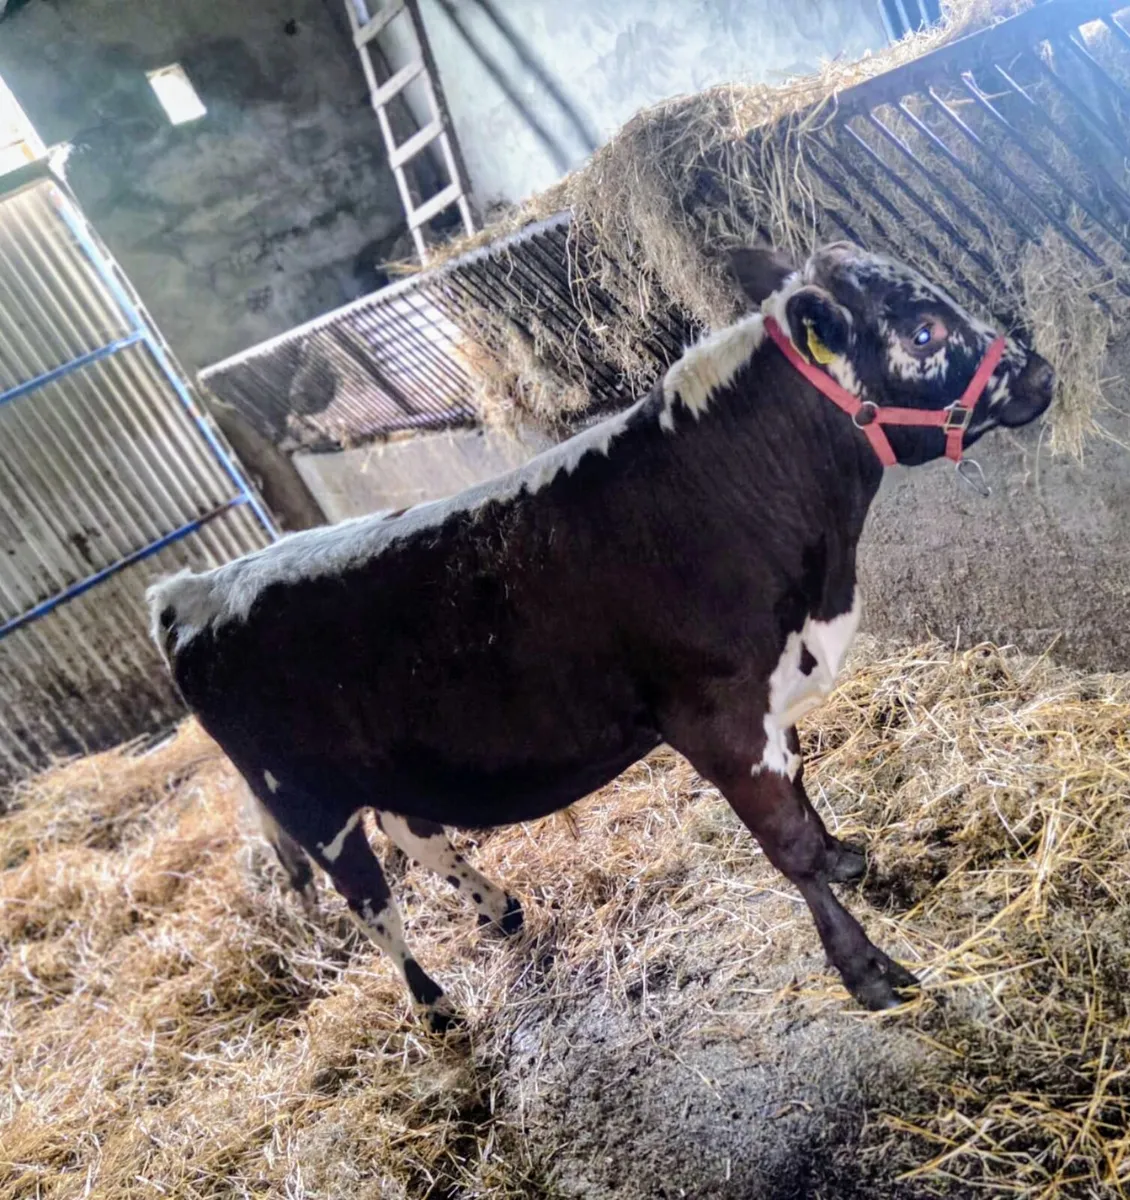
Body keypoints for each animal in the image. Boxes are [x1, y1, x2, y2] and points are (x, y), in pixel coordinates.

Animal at [148, 241, 1054, 1033]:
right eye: (924, 333)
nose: (1041, 372)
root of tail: (189, 588)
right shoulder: (716, 717)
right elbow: (786, 844)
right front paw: (868, 970)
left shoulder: (770, 696)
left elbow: (804, 796)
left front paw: (845, 859)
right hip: (308, 801)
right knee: (375, 908)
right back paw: (436, 1010)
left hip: (386, 763)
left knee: (415, 829)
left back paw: (499, 907)